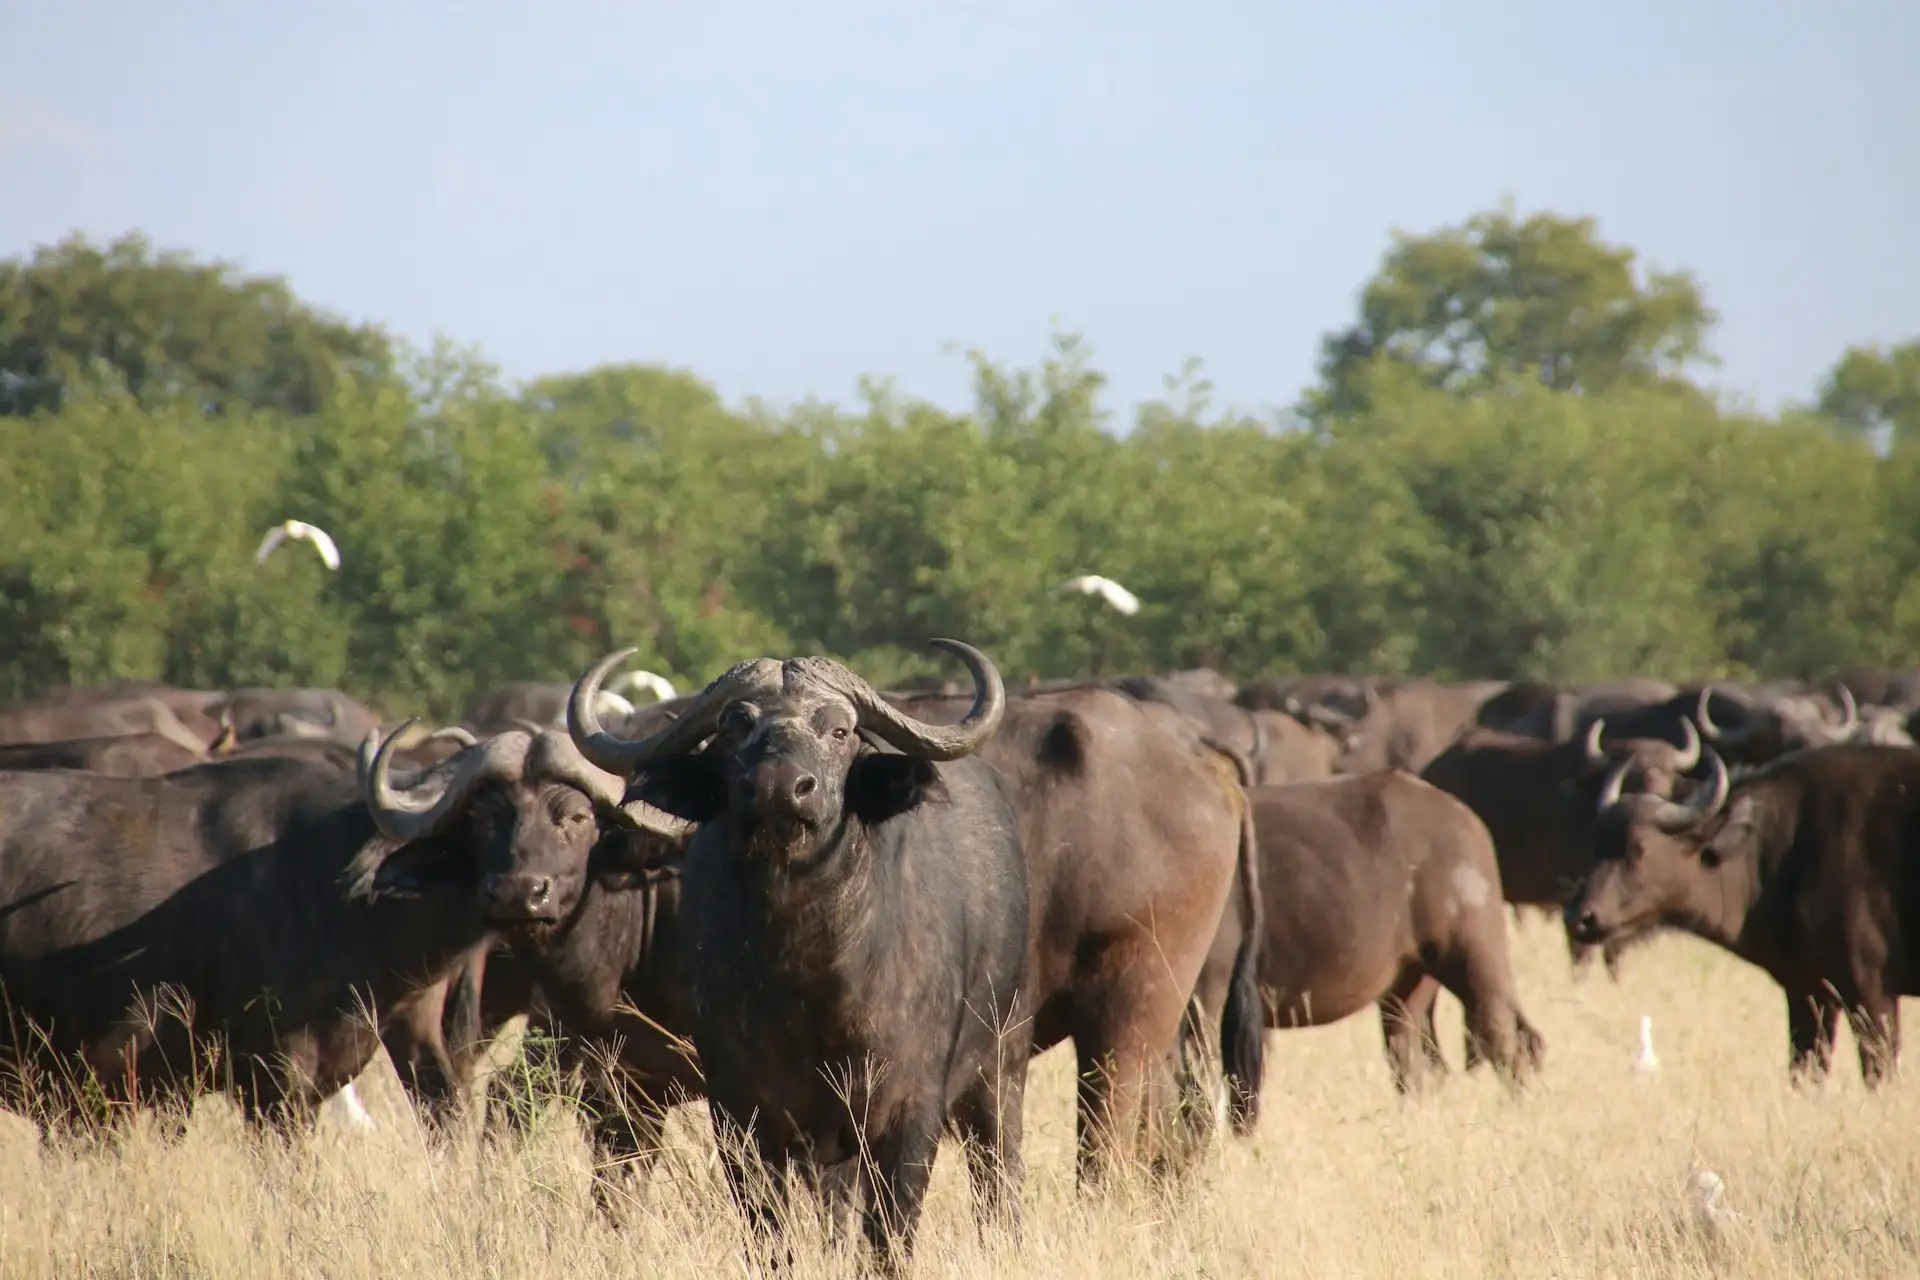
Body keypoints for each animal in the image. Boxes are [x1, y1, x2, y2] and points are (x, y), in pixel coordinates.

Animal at [1566, 744, 1920, 1090]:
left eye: (1638, 848)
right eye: (1596, 845)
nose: (1580, 917)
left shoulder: (1871, 992)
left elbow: (1880, 1073)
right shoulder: (1808, 991)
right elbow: (1804, 1069)